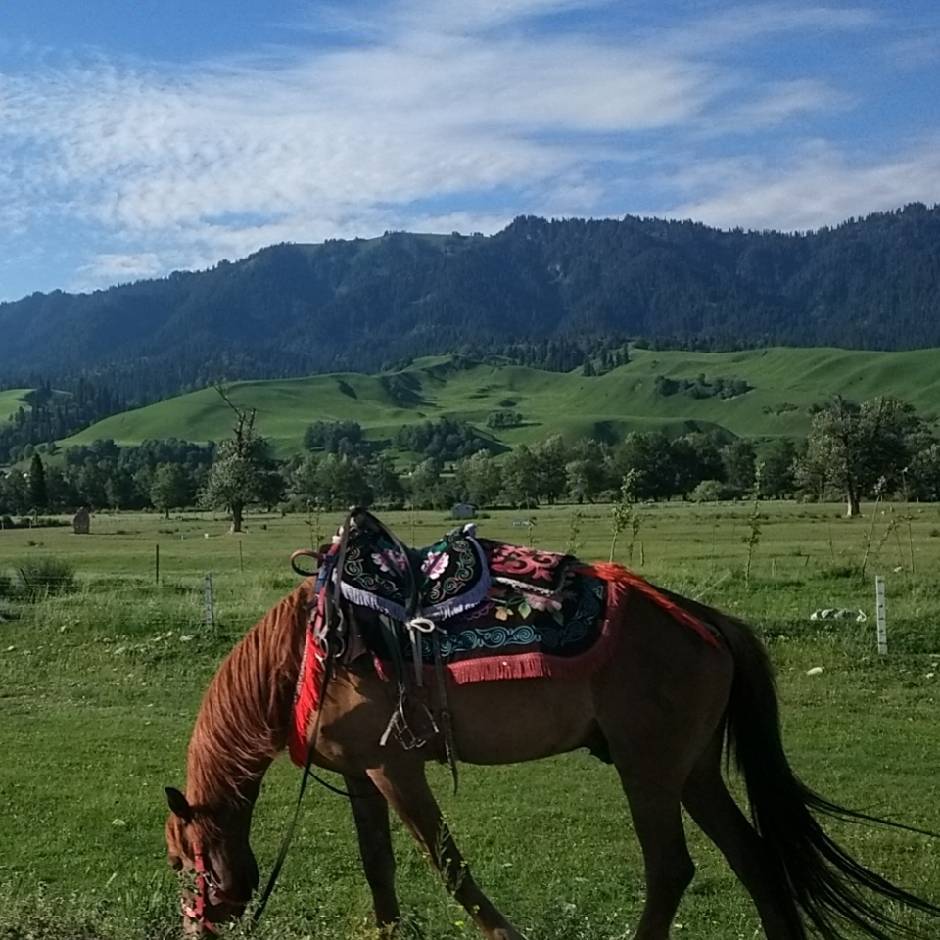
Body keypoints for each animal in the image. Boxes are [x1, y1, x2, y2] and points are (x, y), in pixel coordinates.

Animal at [163, 536, 940, 940]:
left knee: (671, 868)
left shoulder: (396, 768)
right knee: (752, 858)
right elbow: (378, 866)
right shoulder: (362, 774)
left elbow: (448, 866)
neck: (307, 655)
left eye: (180, 860)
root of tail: (704, 619)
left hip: (648, 769)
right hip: (691, 770)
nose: (195, 927)